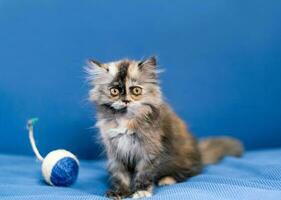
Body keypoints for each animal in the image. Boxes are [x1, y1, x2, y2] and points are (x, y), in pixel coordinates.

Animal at [86, 57, 242, 199]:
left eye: (136, 91)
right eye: (114, 91)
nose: (125, 101)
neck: (126, 119)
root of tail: (200, 154)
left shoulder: (149, 151)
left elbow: (144, 173)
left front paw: (141, 191)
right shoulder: (115, 152)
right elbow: (120, 174)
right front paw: (120, 191)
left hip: (182, 157)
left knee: (189, 172)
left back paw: (167, 179)